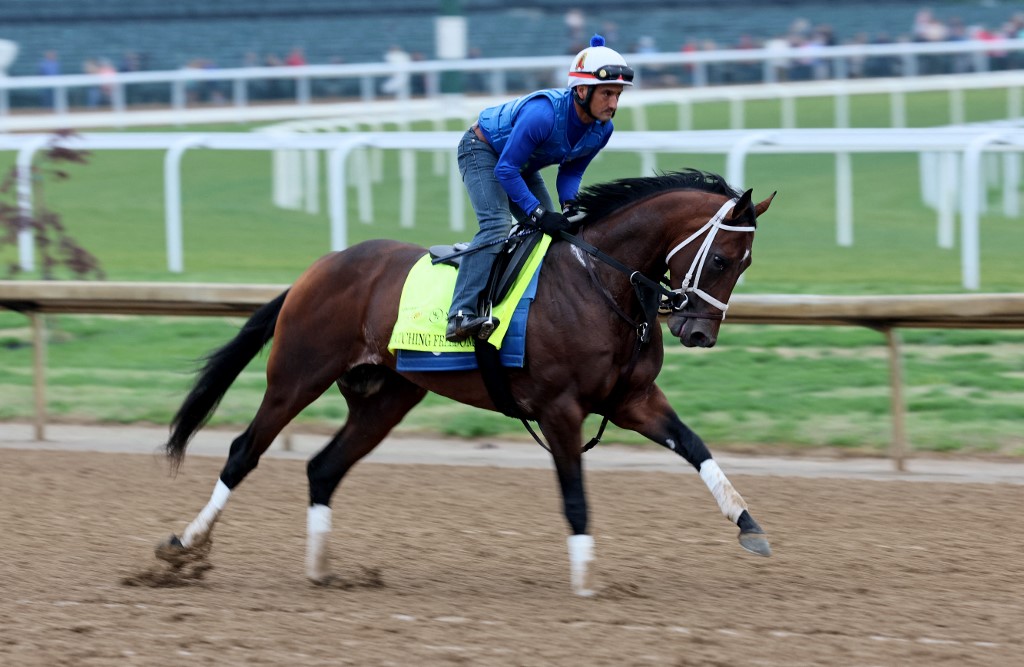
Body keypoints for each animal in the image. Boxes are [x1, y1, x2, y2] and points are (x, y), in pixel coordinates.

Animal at [157, 170, 774, 598]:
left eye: (745, 265)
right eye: (722, 258)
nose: (699, 332)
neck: (601, 282)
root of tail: (318, 268)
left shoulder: (633, 400)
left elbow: (695, 447)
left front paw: (749, 525)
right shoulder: (560, 409)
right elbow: (575, 495)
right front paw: (584, 580)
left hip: (386, 397)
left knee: (323, 468)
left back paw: (320, 571)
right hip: (296, 376)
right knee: (244, 451)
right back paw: (183, 544)